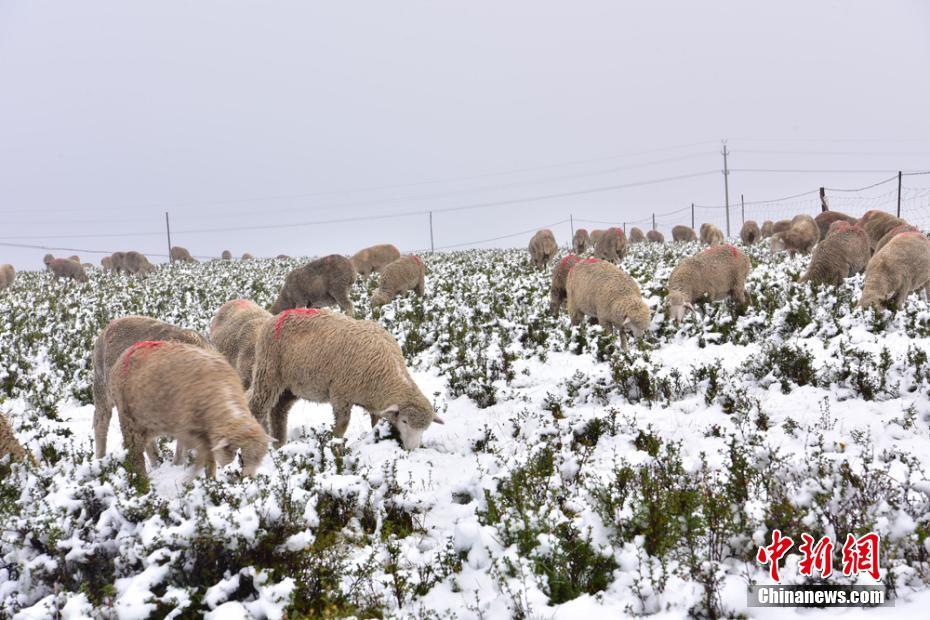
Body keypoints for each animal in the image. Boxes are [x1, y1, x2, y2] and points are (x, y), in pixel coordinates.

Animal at [108, 340, 270, 480]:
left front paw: (210, 481)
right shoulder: (190, 431)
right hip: (128, 421)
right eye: (241, 457)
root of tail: (125, 354)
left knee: (149, 447)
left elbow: (208, 460)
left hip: (147, 422)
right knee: (135, 454)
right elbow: (202, 459)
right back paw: (142, 482)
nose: (249, 480)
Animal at [246, 310, 442, 450]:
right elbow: (342, 425)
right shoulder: (341, 394)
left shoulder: (374, 403)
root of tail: (275, 317)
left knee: (278, 410)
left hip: (292, 386)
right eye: (405, 421)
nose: (412, 449)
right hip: (269, 373)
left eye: (425, 428)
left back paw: (279, 444)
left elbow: (375, 423)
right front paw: (336, 445)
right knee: (256, 405)